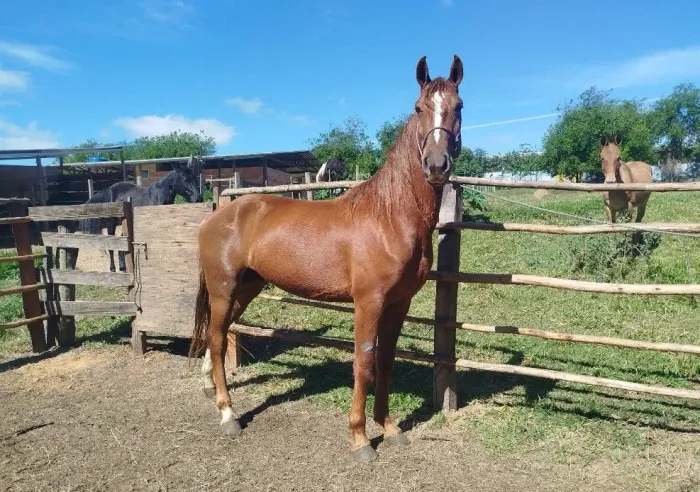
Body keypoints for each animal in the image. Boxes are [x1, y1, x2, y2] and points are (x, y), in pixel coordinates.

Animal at [190, 54, 464, 462]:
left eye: (458, 106)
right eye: (419, 108)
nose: (435, 165)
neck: (389, 215)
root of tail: (219, 214)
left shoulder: (398, 303)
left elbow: (385, 362)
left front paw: (389, 428)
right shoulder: (368, 303)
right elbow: (364, 363)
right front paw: (361, 439)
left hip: (247, 287)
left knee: (216, 334)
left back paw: (212, 391)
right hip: (224, 288)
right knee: (219, 339)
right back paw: (228, 414)